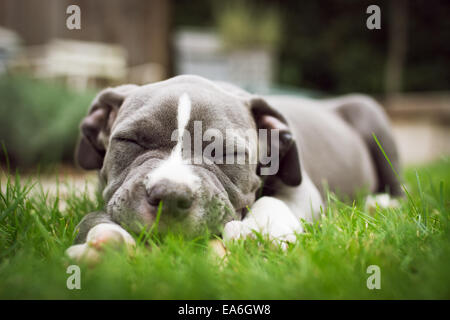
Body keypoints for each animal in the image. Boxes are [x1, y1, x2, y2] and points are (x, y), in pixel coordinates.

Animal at [66, 75, 400, 260]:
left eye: (226, 151)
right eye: (131, 141)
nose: (171, 194)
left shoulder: (303, 188)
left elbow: (276, 202)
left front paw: (264, 231)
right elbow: (91, 217)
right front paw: (107, 235)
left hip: (370, 114)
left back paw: (382, 203)